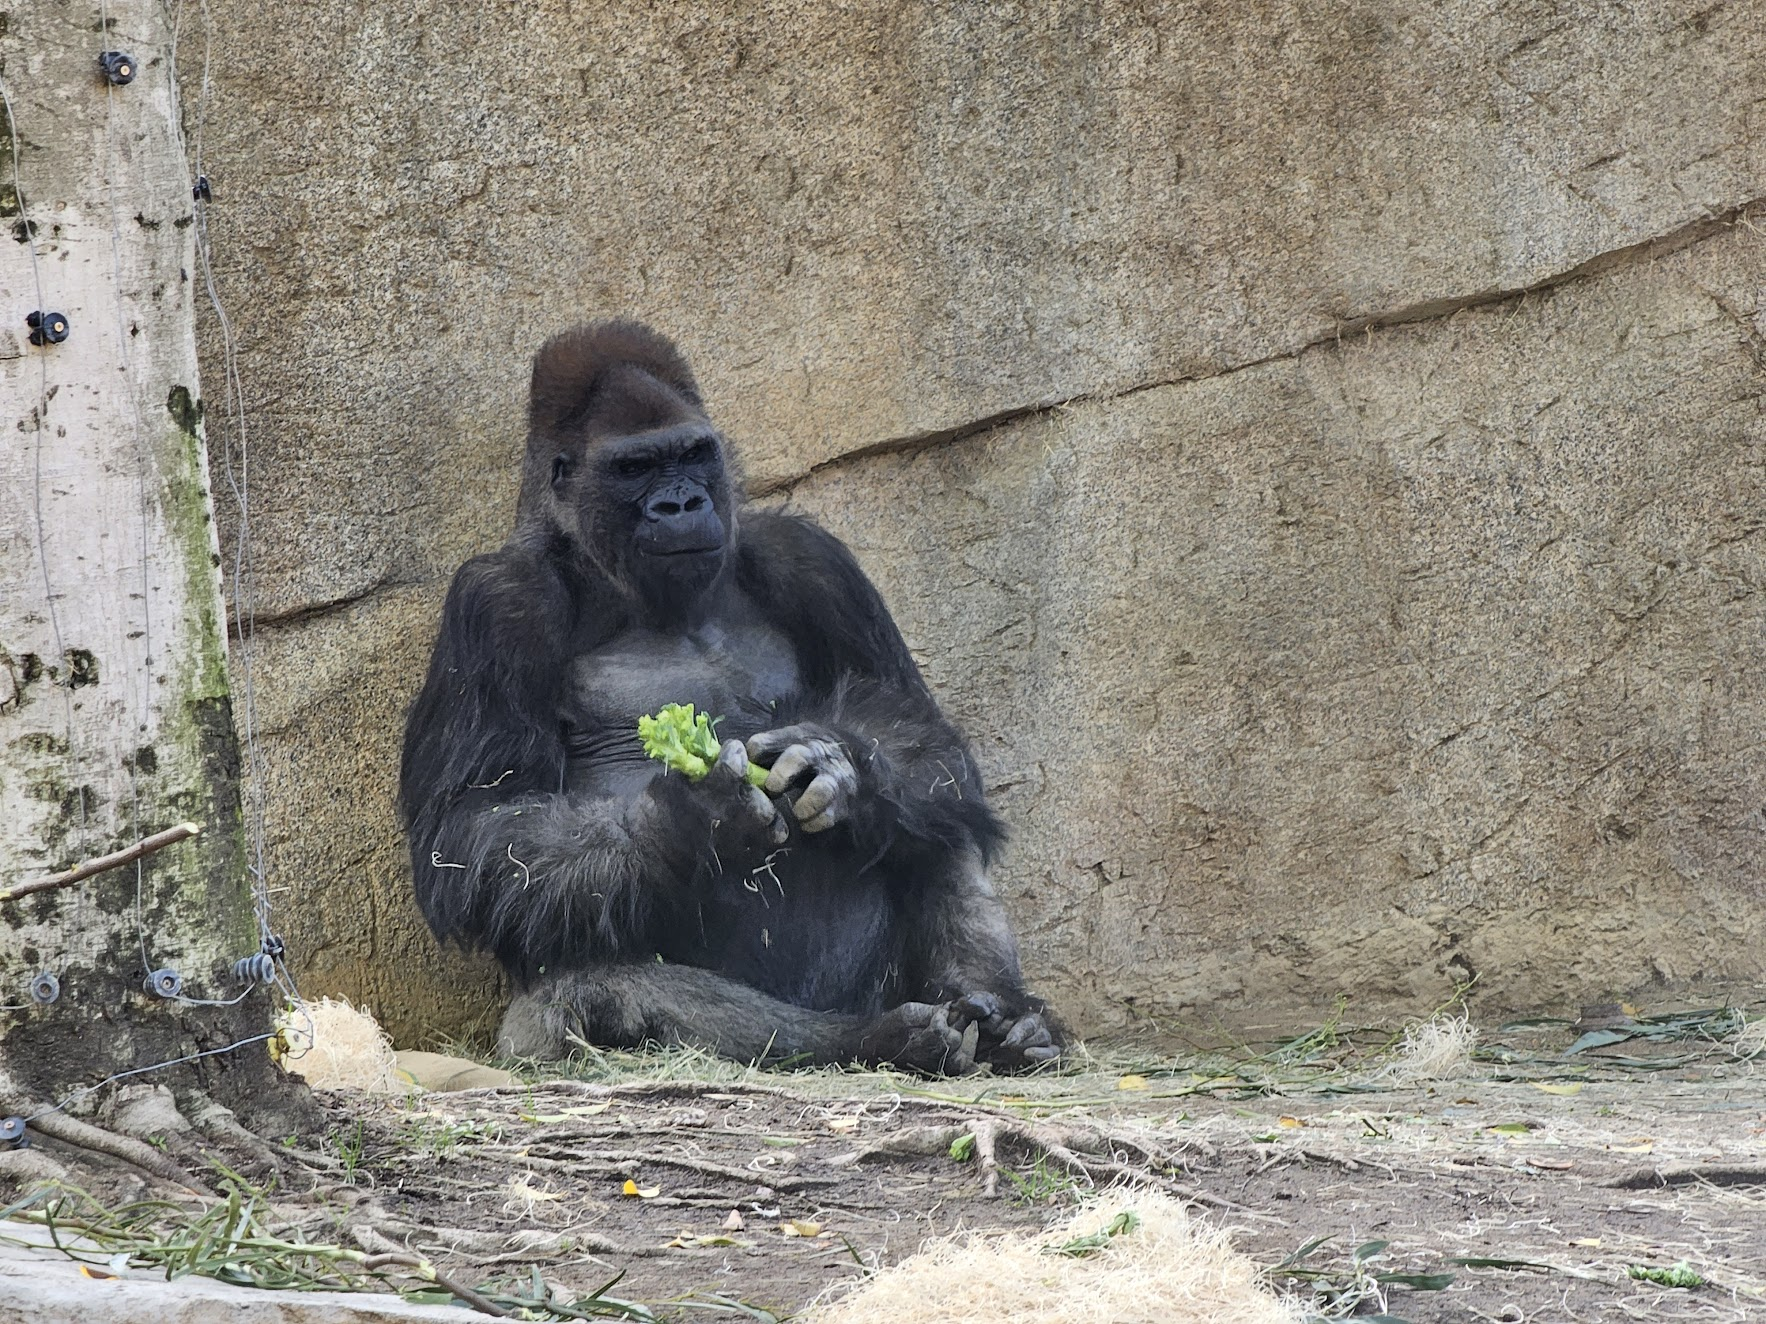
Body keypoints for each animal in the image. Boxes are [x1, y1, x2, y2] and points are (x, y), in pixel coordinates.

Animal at [399, 324, 1052, 1080]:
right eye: (634, 468)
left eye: (692, 455)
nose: (681, 505)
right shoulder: (496, 603)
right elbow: (474, 827)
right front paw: (685, 822)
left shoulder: (813, 558)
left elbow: (921, 728)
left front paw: (833, 763)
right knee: (598, 994)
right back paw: (879, 1040)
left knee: (933, 814)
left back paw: (1007, 1022)